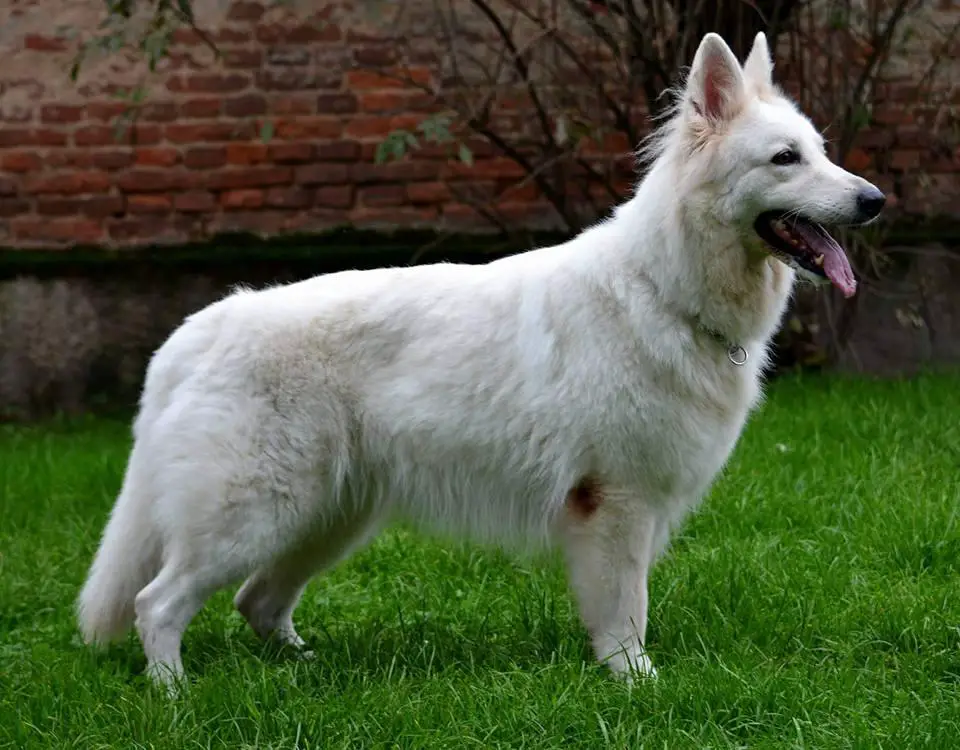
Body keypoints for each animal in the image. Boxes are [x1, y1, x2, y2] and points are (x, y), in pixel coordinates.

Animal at [77, 31, 884, 688]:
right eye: (785, 160)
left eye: (821, 152)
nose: (875, 200)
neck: (662, 290)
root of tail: (195, 330)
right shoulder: (616, 506)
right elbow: (627, 612)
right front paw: (637, 683)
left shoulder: (636, 509)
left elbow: (621, 608)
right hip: (254, 515)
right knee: (158, 603)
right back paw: (174, 697)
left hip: (326, 518)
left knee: (257, 602)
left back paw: (303, 670)